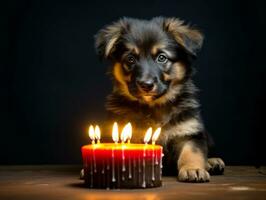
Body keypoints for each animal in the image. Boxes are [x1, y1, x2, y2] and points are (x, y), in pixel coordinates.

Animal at [94, 17, 223, 183]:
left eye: (162, 58)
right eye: (130, 59)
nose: (146, 85)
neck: (154, 106)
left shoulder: (190, 132)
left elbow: (191, 152)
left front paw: (193, 169)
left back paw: (212, 162)